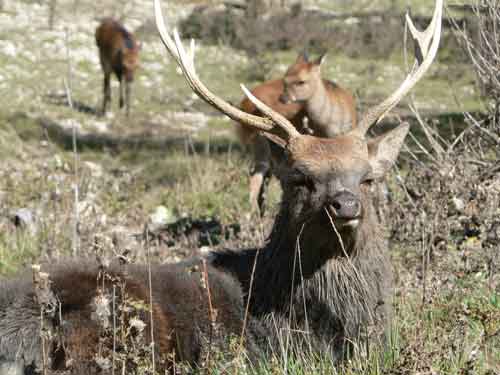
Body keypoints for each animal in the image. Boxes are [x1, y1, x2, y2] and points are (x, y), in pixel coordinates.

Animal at [237, 51, 356, 213]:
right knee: (256, 175)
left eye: (301, 81)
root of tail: (243, 104)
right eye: (285, 79)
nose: (283, 98)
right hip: (259, 142)